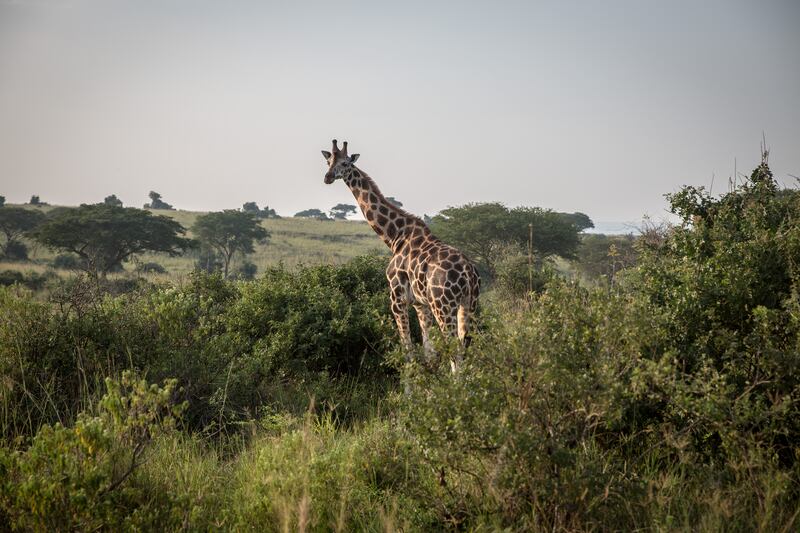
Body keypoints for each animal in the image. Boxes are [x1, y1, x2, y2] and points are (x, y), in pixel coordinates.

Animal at [322, 139, 480, 372]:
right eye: (328, 161)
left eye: (345, 163)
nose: (328, 177)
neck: (395, 236)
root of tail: (468, 273)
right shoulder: (420, 304)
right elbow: (429, 353)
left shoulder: (397, 298)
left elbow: (408, 351)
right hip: (470, 304)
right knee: (466, 345)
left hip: (443, 304)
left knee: (454, 348)